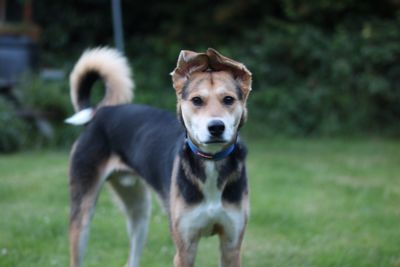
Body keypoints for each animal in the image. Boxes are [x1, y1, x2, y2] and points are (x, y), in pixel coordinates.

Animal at [67, 47, 252, 266]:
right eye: (197, 100)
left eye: (228, 99)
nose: (216, 127)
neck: (211, 162)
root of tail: (100, 113)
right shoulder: (184, 249)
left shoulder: (231, 246)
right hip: (82, 215)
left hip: (139, 213)